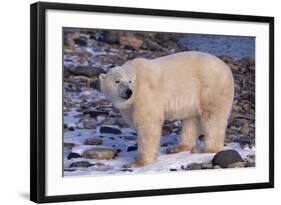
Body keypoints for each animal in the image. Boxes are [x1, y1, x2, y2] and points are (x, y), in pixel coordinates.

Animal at [99, 50, 234, 167]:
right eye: (117, 81)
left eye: (129, 81)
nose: (128, 92)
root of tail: (226, 68)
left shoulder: (146, 94)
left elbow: (148, 124)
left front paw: (139, 162)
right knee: (190, 120)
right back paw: (178, 147)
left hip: (211, 87)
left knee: (212, 117)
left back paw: (206, 149)